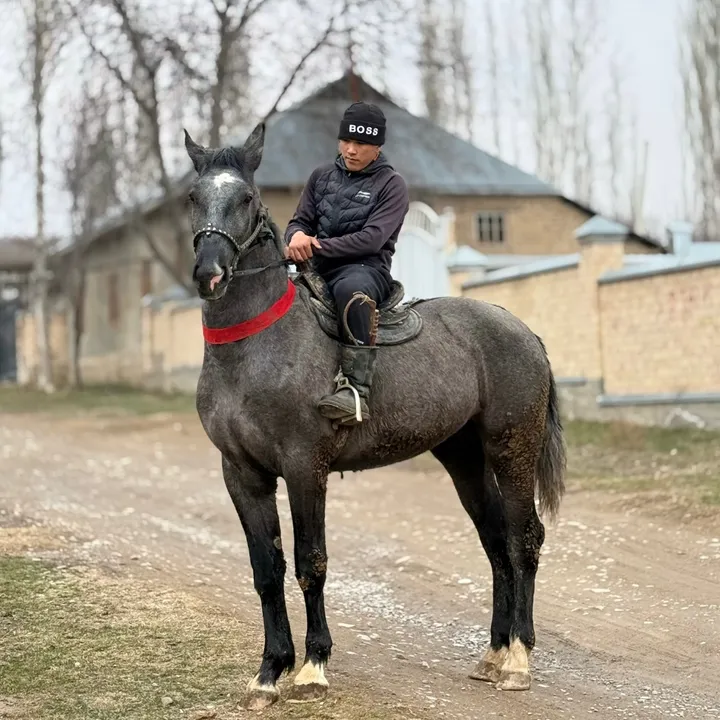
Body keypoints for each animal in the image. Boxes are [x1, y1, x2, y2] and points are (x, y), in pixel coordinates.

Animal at [183, 122, 566, 710]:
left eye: (245, 197)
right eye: (193, 197)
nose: (210, 272)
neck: (256, 347)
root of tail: (520, 329)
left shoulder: (304, 469)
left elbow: (310, 563)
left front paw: (313, 666)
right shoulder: (242, 475)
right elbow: (267, 570)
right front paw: (269, 671)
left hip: (512, 450)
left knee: (525, 541)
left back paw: (518, 658)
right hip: (466, 461)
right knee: (497, 545)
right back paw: (495, 651)